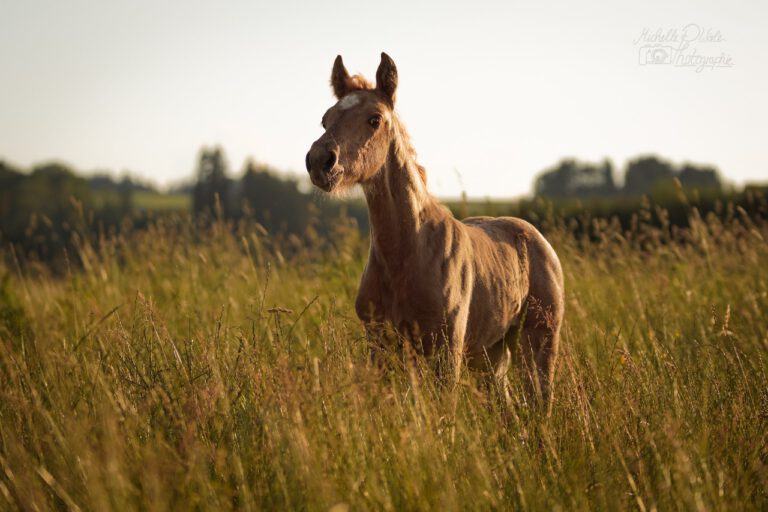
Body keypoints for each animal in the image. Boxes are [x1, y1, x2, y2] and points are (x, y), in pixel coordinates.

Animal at [304, 53, 564, 408]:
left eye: (374, 119)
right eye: (325, 119)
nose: (320, 161)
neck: (406, 253)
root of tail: (538, 240)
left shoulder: (446, 349)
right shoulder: (381, 346)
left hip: (538, 339)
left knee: (541, 401)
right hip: (490, 352)